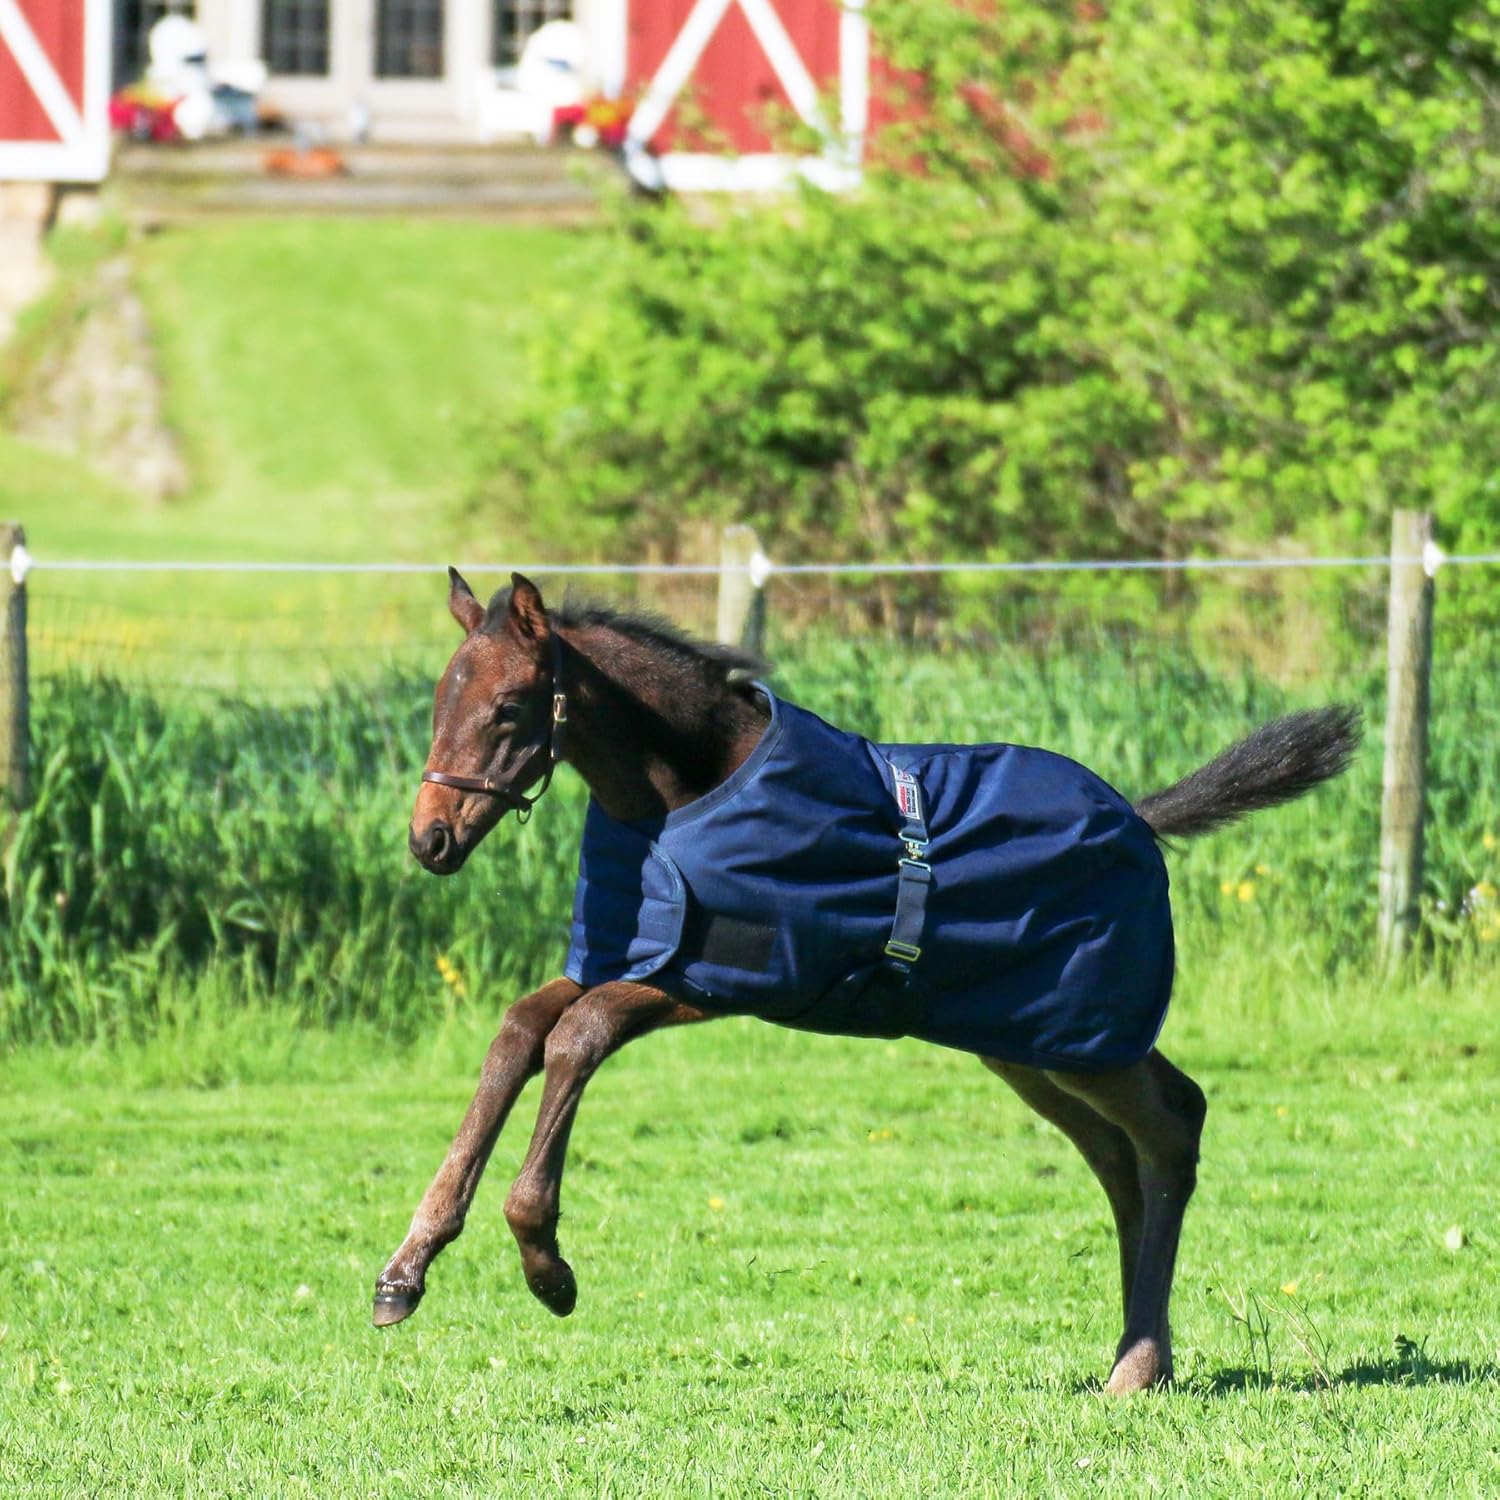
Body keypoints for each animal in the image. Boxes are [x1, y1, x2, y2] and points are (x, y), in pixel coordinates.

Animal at [374, 569, 1360, 1396]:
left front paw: (547, 1265)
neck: (688, 796)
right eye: (439, 702)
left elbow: (578, 1038)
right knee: (1121, 1156)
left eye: (508, 708)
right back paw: (1135, 1352)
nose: (431, 839)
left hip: (1086, 1032)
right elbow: (518, 1032)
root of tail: (1140, 820)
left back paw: (1141, 1363)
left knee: (1174, 1125)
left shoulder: (725, 975)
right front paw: (407, 1268)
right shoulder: (625, 959)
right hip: (1032, 1042)